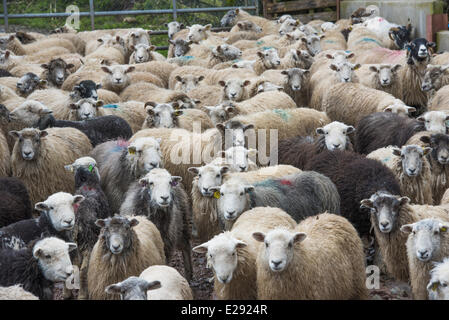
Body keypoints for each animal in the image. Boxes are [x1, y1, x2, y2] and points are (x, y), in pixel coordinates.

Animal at [63, 156, 110, 298]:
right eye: (95, 166)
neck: (87, 182)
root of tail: (77, 221)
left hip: (70, 245)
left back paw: (66, 293)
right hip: (88, 242)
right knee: (84, 270)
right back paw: (83, 294)